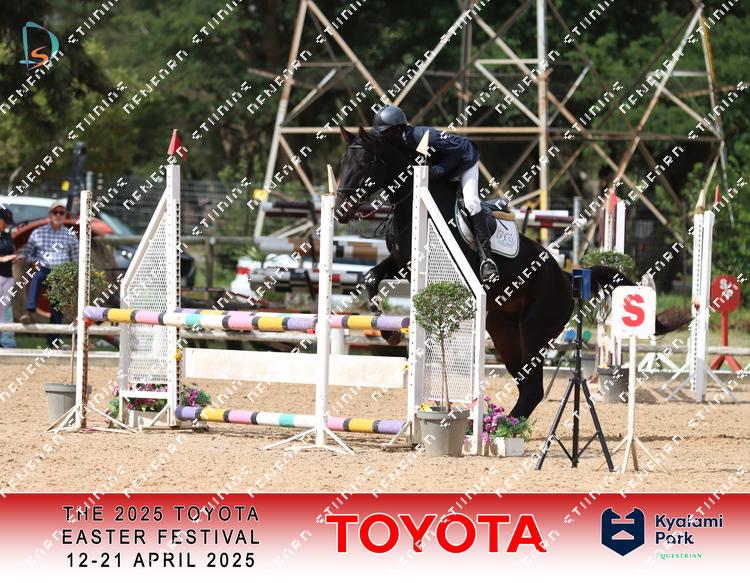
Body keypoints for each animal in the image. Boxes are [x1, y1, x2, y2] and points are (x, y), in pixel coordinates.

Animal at [334, 126, 683, 420]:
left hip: (534, 330)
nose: (340, 211)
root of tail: (565, 278)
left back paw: (505, 429)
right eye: (342, 162)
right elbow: (371, 277)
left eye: (364, 163)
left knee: (533, 388)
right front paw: (388, 331)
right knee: (526, 386)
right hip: (504, 332)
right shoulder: (400, 262)